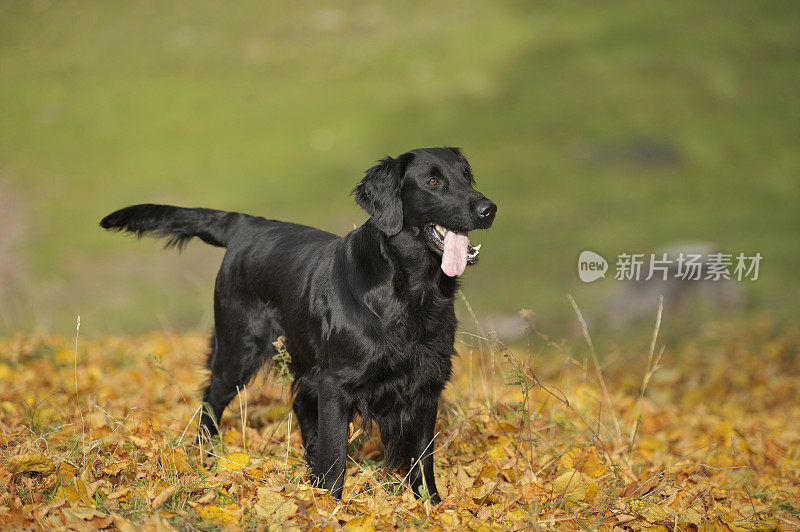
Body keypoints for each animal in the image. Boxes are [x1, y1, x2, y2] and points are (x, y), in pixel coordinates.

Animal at [100, 148, 494, 500]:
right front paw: (329, 508)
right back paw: (204, 462)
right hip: (237, 352)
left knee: (301, 407)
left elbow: (423, 459)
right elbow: (336, 456)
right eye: (432, 181)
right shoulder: (337, 382)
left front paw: (431, 506)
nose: (488, 209)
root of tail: (246, 224)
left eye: (467, 176)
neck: (410, 292)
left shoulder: (427, 384)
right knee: (210, 404)